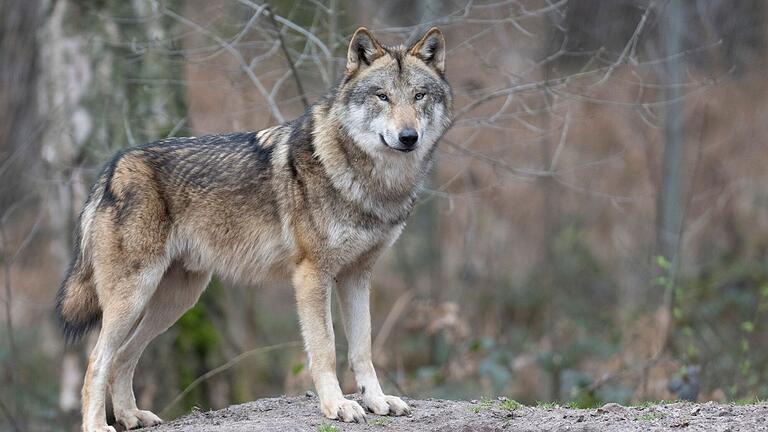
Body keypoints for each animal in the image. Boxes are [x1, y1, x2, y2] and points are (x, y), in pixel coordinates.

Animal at [57, 27, 452, 432]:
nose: (408, 136)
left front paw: (376, 401)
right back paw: (98, 425)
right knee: (97, 362)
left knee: (123, 357)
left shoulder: (357, 275)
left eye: (418, 95)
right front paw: (337, 406)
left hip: (176, 300)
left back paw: (131, 416)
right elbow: (325, 349)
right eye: (382, 96)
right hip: (135, 296)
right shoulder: (313, 275)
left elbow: (362, 348)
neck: (371, 182)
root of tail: (112, 167)